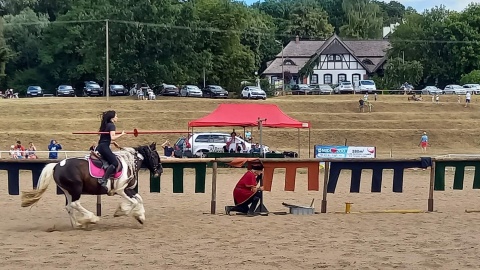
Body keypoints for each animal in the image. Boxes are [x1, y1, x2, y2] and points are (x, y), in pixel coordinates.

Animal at [20, 142, 163, 229]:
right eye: (155, 156)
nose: (160, 171)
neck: (128, 163)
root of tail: (57, 165)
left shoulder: (128, 189)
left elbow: (139, 199)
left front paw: (140, 217)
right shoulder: (121, 190)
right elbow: (133, 202)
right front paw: (121, 211)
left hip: (68, 192)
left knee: (69, 206)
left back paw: (77, 224)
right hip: (76, 189)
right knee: (75, 204)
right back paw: (91, 218)